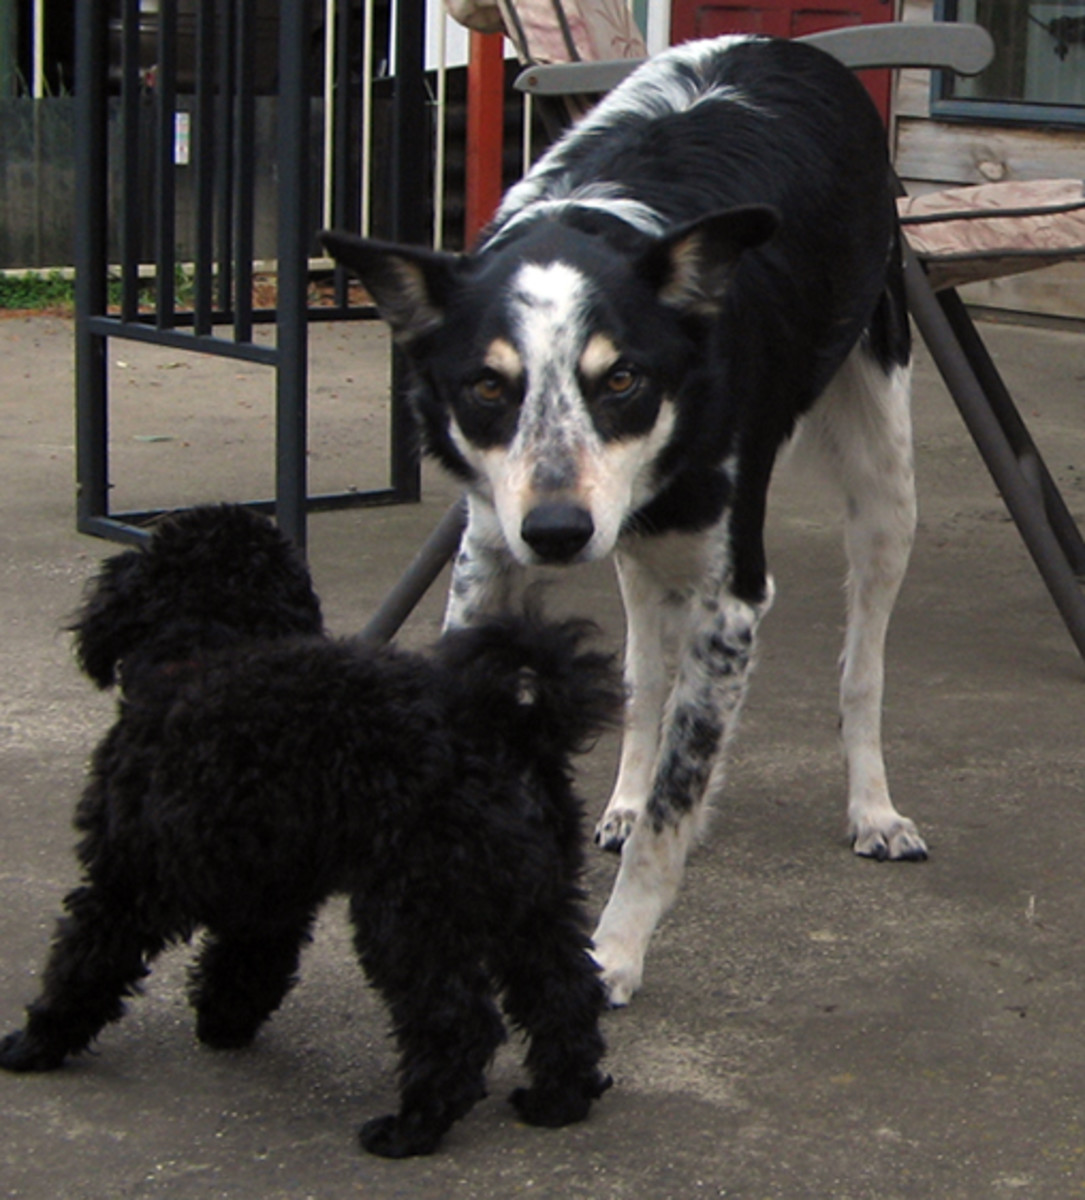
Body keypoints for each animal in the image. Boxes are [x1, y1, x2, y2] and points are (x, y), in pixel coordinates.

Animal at [321, 37, 921, 1008]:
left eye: (623, 379)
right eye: (487, 387)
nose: (557, 533)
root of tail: (789, 47)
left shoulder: (730, 601)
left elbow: (672, 813)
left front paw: (614, 949)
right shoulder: (487, 556)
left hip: (883, 489)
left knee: (860, 667)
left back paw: (872, 806)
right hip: (634, 547)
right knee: (644, 674)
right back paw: (625, 794)